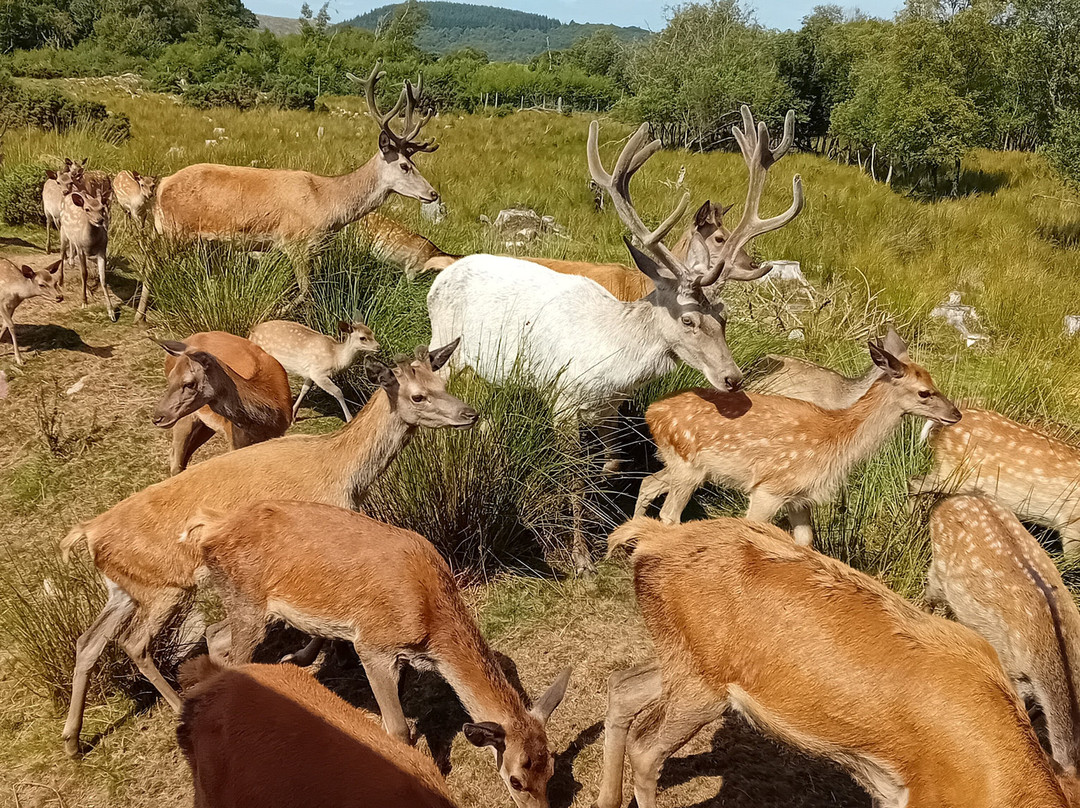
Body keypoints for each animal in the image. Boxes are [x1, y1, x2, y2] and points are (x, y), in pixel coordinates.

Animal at [59, 189, 116, 321]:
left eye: (102, 208)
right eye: (87, 209)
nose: (100, 220)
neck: (90, 243)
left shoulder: (102, 250)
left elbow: (103, 278)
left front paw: (111, 312)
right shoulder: (81, 249)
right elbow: (84, 274)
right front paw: (84, 301)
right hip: (62, 231)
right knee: (61, 253)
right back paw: (61, 280)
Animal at [152, 332, 293, 475]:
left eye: (189, 383)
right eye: (171, 378)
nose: (157, 418)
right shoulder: (235, 440)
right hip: (186, 419)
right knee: (175, 458)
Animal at [153, 62, 439, 292]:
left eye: (414, 161)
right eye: (404, 165)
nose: (433, 193)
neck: (328, 203)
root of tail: (161, 186)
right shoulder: (296, 243)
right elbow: (305, 292)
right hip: (174, 230)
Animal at [248, 318, 380, 422]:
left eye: (372, 332)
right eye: (362, 338)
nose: (378, 347)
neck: (336, 357)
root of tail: (251, 333)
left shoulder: (309, 373)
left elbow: (305, 389)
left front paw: (293, 415)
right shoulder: (318, 373)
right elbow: (338, 391)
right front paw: (350, 419)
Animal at [635, 336, 960, 544]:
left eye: (933, 380)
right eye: (924, 392)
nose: (956, 414)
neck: (837, 439)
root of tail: (653, 411)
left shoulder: (800, 497)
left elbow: (805, 541)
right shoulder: (770, 488)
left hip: (685, 465)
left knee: (648, 483)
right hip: (689, 465)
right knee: (669, 513)